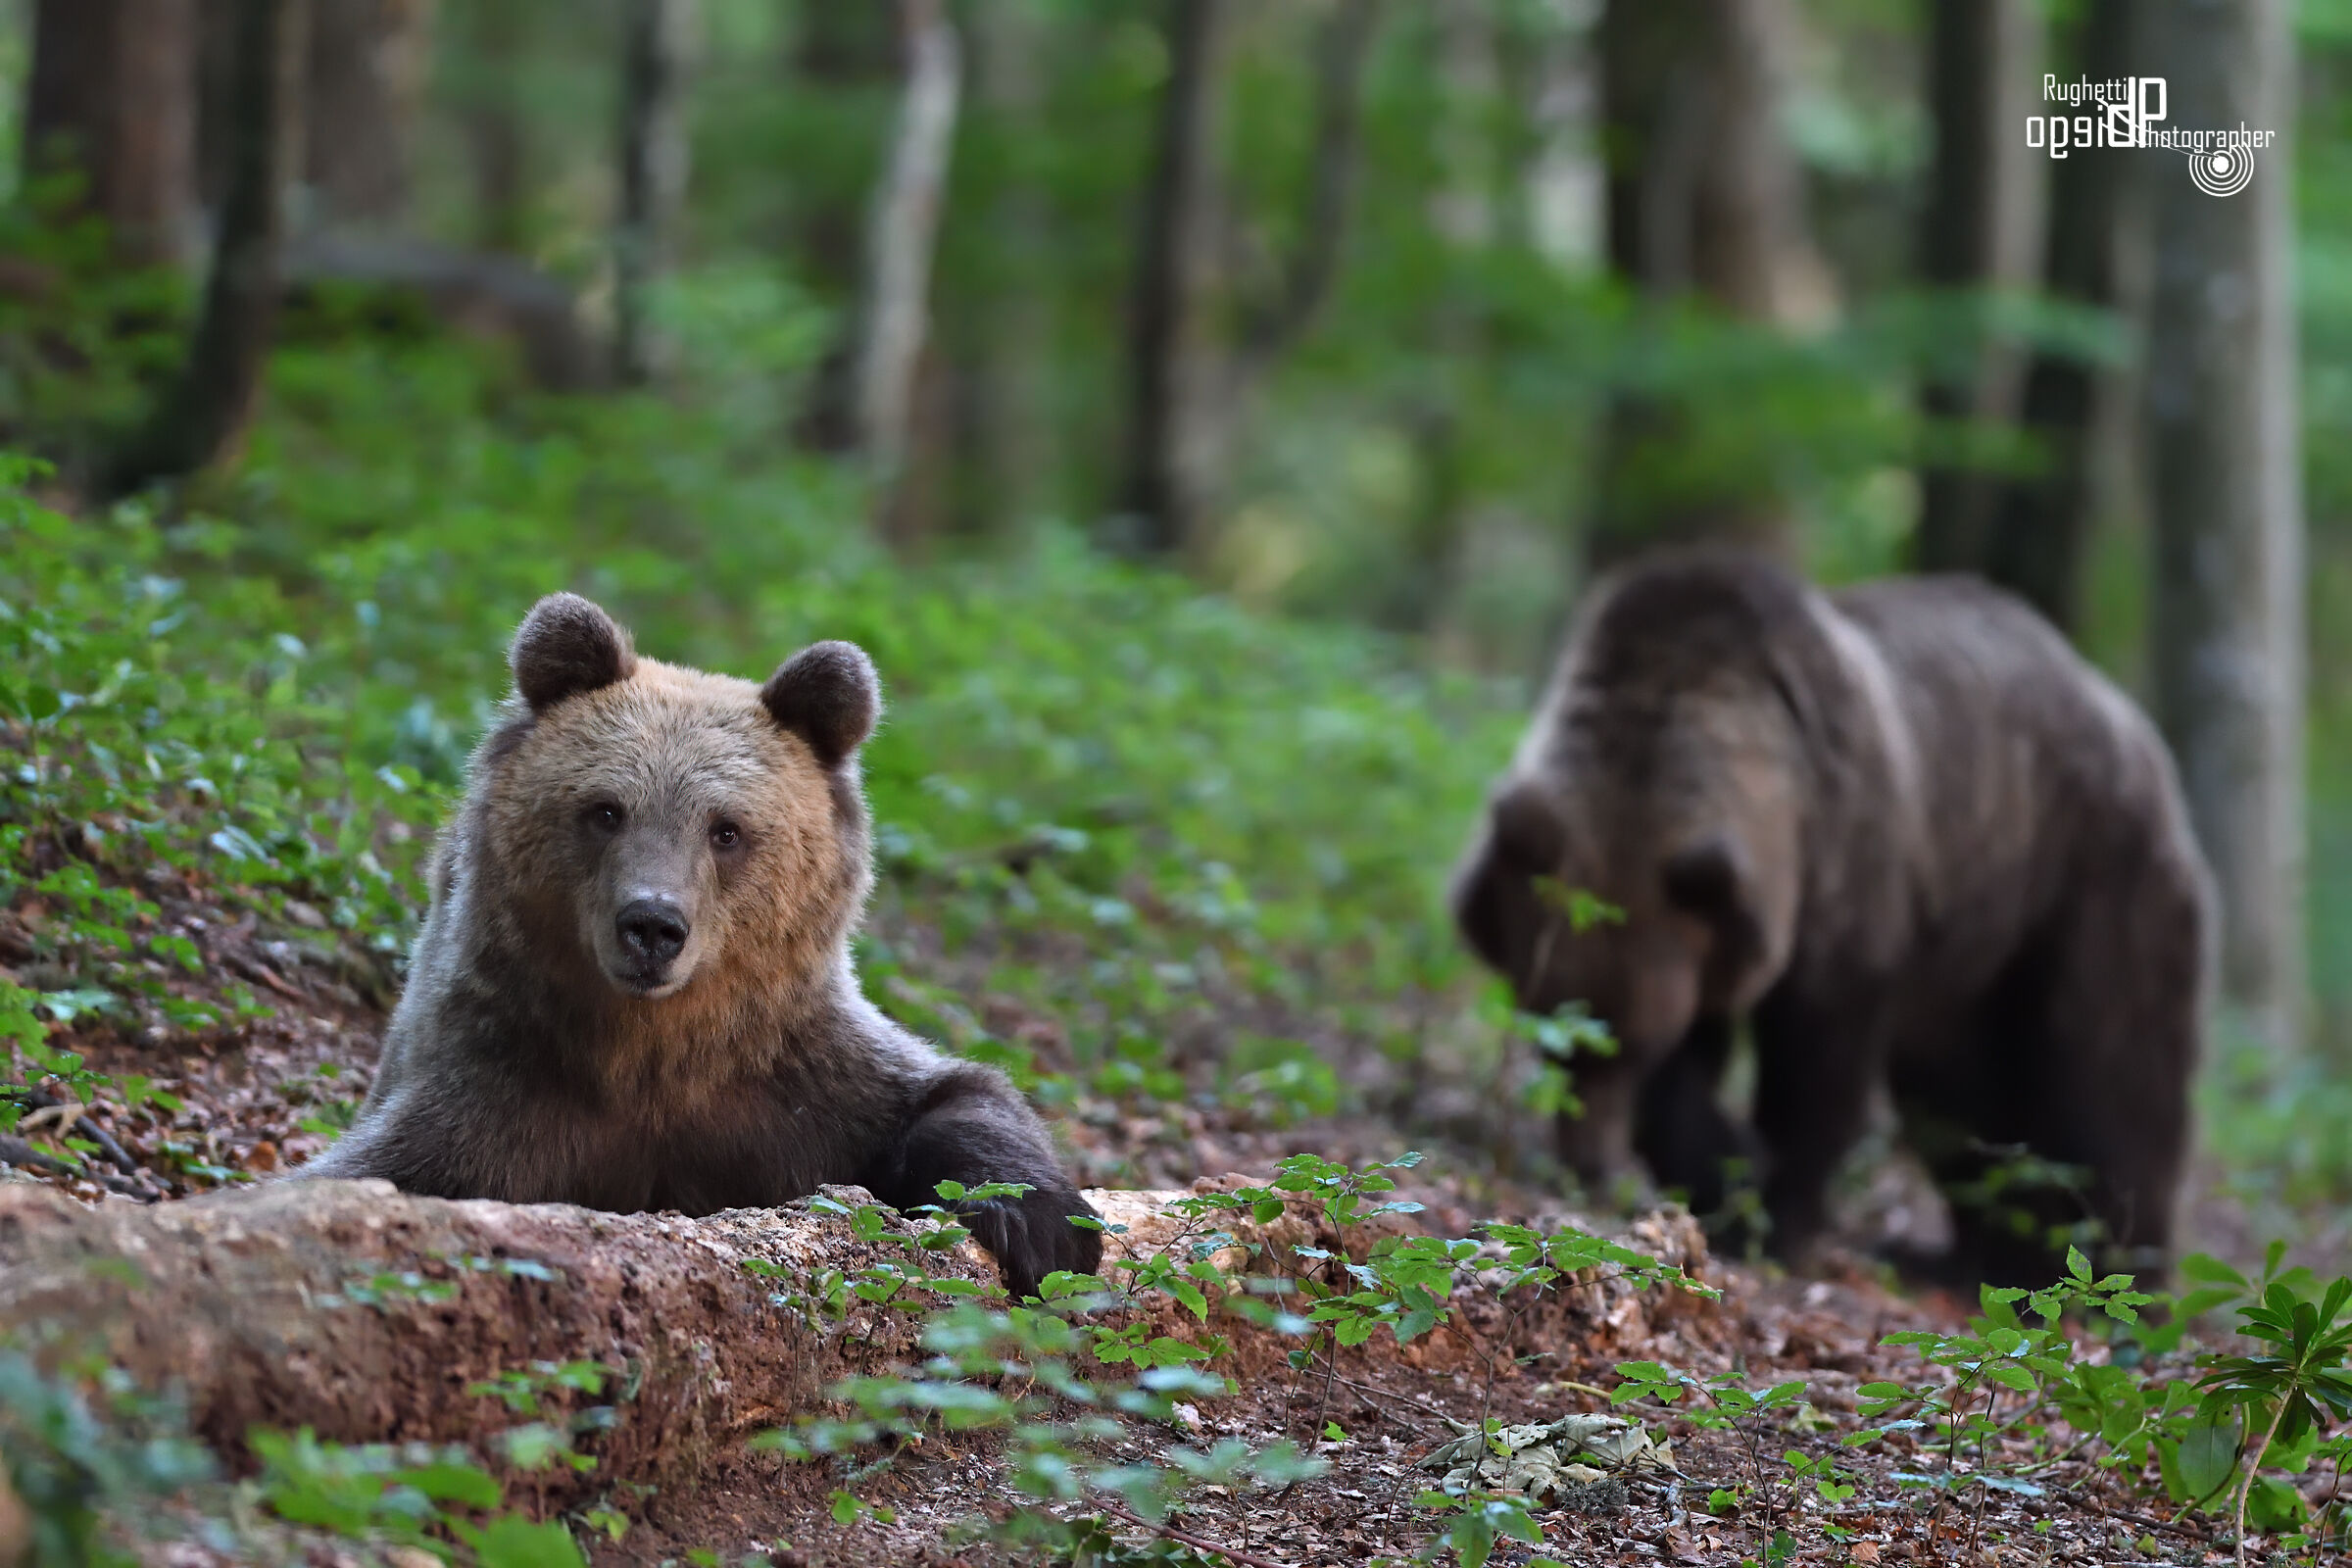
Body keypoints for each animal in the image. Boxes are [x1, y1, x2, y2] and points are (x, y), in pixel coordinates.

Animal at [299, 592, 1103, 1299]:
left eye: (727, 830)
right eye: (605, 810)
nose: (653, 925)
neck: (653, 1046)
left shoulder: (790, 1082)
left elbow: (950, 1096)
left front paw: (1046, 1229)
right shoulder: (498, 1095)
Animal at [1452, 551, 2211, 1283]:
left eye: (1633, 1044)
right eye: (1552, 1034)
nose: (1589, 1162)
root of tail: (2128, 717)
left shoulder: (1845, 870)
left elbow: (1817, 1072)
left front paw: (1771, 1219)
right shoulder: (1706, 938)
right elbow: (1689, 1082)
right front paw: (1722, 1172)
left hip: (2083, 882)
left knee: (2110, 1081)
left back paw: (2121, 1275)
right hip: (1966, 963)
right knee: (1960, 1102)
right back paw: (1980, 1256)